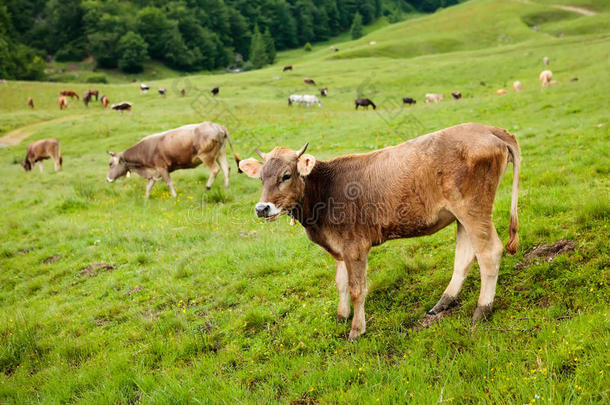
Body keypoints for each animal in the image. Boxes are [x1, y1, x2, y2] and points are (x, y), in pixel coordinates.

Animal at [108, 120, 241, 197]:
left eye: (110, 163)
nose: (108, 179)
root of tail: (217, 125)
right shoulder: (153, 172)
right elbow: (148, 187)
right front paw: (145, 200)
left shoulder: (162, 168)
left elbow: (168, 182)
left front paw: (174, 196)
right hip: (220, 153)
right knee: (226, 168)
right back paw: (226, 187)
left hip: (206, 156)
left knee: (215, 170)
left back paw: (207, 188)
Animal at [240, 122, 520, 338]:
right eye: (261, 178)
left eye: (286, 175)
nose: (262, 208)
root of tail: (488, 128)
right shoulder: (339, 246)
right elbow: (341, 283)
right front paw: (342, 316)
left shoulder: (355, 246)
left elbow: (357, 288)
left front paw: (356, 330)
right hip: (461, 214)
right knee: (465, 256)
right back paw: (443, 302)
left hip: (473, 208)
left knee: (489, 252)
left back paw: (482, 310)